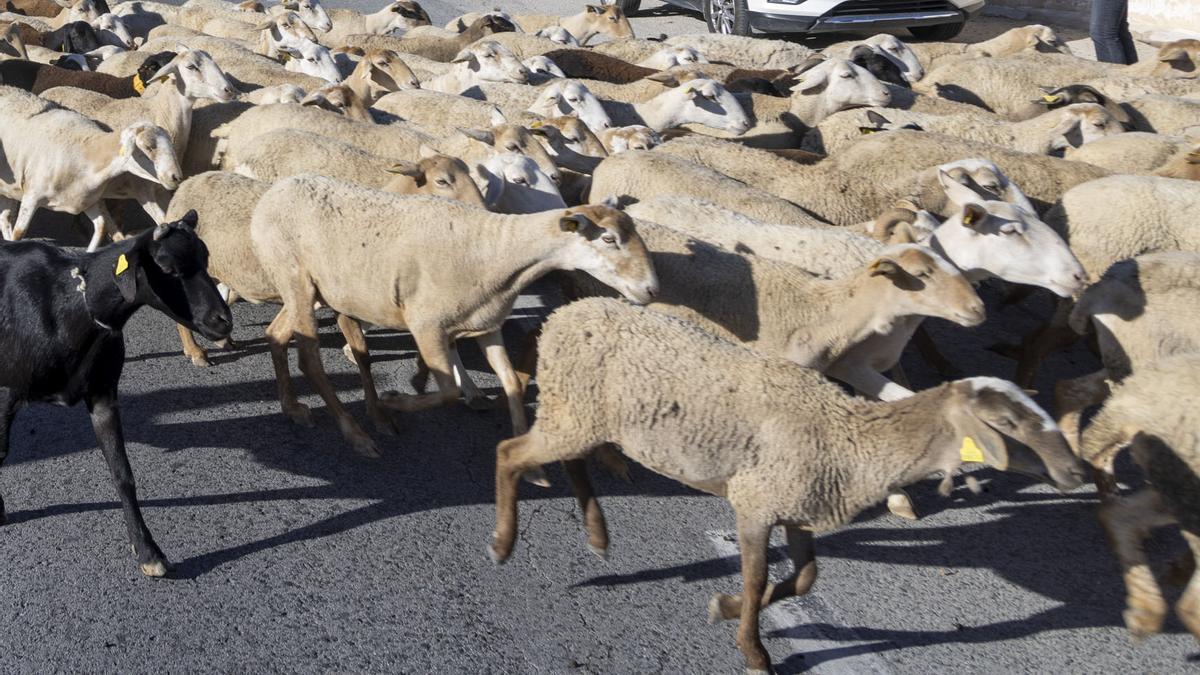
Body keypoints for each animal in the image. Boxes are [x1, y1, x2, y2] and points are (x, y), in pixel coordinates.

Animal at [0, 86, 180, 250]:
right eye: (149, 147)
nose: (176, 176)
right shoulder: (32, 197)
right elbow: (19, 234)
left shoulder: (87, 201)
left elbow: (101, 228)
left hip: (7, 192)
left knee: (5, 220)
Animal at [0, 213, 231, 578]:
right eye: (167, 268)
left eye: (205, 258)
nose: (223, 322)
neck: (67, 306)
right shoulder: (6, 392)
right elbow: (0, 452)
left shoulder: (103, 395)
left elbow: (123, 474)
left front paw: (148, 552)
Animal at [249, 175, 659, 456]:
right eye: (608, 239)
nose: (653, 289)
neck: (499, 252)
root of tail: (277, 189)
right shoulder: (427, 325)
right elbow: (447, 392)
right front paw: (396, 400)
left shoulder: (486, 323)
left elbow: (511, 381)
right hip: (295, 279)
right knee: (309, 359)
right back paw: (358, 434)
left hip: (309, 290)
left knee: (276, 335)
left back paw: (296, 408)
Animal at [488, 296, 1086, 673]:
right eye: (1007, 424)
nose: (1078, 473)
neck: (848, 436)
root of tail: (564, 314)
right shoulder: (756, 502)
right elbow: (758, 581)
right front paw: (753, 650)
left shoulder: (799, 507)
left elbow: (804, 579)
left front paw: (726, 607)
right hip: (574, 408)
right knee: (509, 454)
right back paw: (503, 543)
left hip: (580, 411)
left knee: (571, 461)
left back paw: (597, 535)